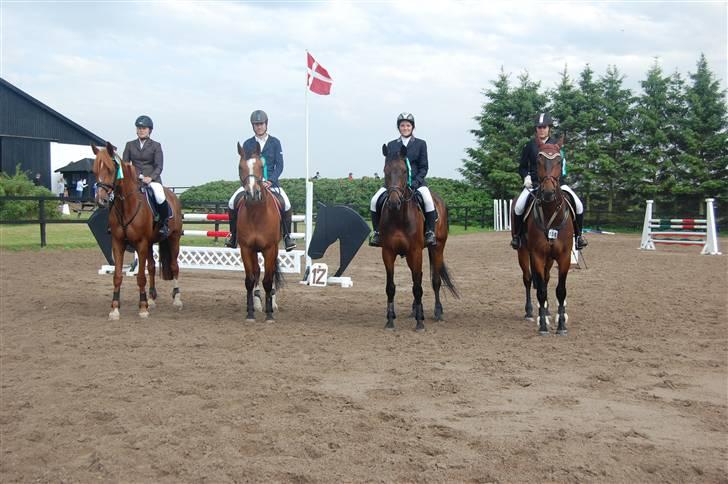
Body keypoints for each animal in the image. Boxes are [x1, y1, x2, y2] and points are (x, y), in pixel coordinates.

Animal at [91, 142, 182, 320]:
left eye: (110, 169)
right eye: (94, 170)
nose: (101, 200)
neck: (126, 205)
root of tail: (172, 195)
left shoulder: (141, 243)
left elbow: (140, 277)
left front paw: (142, 308)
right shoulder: (118, 243)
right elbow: (117, 276)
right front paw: (115, 308)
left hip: (173, 239)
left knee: (174, 266)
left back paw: (177, 299)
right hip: (151, 243)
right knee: (152, 267)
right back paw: (152, 299)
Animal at [236, 140, 282, 324]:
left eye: (261, 166)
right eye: (240, 167)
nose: (252, 194)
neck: (256, 214)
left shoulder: (270, 249)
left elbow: (268, 281)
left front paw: (269, 314)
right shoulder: (246, 249)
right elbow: (250, 280)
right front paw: (250, 313)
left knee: (271, 275)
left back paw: (273, 304)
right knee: (255, 273)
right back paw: (256, 303)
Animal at [378, 144, 458, 332]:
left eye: (404, 171)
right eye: (385, 171)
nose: (394, 203)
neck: (399, 216)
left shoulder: (415, 251)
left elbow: (418, 287)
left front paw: (420, 323)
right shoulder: (388, 252)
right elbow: (391, 287)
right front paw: (390, 320)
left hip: (437, 247)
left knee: (434, 280)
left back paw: (437, 312)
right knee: (417, 277)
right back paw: (415, 310)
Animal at [524, 134, 576, 334]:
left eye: (559, 160)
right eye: (538, 160)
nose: (547, 192)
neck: (550, 213)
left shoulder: (564, 257)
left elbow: (560, 290)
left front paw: (561, 325)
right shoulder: (537, 255)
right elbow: (541, 290)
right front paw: (543, 326)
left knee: (546, 280)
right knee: (530, 280)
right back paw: (533, 313)